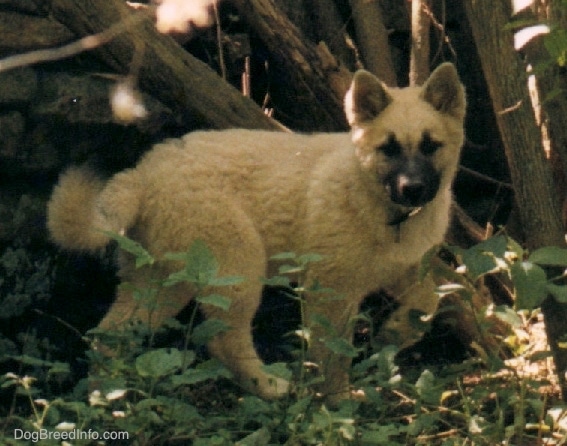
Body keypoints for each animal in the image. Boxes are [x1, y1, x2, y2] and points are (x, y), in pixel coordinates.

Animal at [47, 63, 466, 404]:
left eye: (431, 146)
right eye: (388, 149)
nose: (413, 190)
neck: (382, 207)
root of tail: (143, 174)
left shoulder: (404, 270)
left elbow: (429, 302)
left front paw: (394, 333)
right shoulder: (330, 290)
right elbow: (333, 354)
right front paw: (338, 402)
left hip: (160, 282)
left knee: (109, 335)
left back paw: (106, 400)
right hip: (238, 269)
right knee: (222, 341)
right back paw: (270, 387)